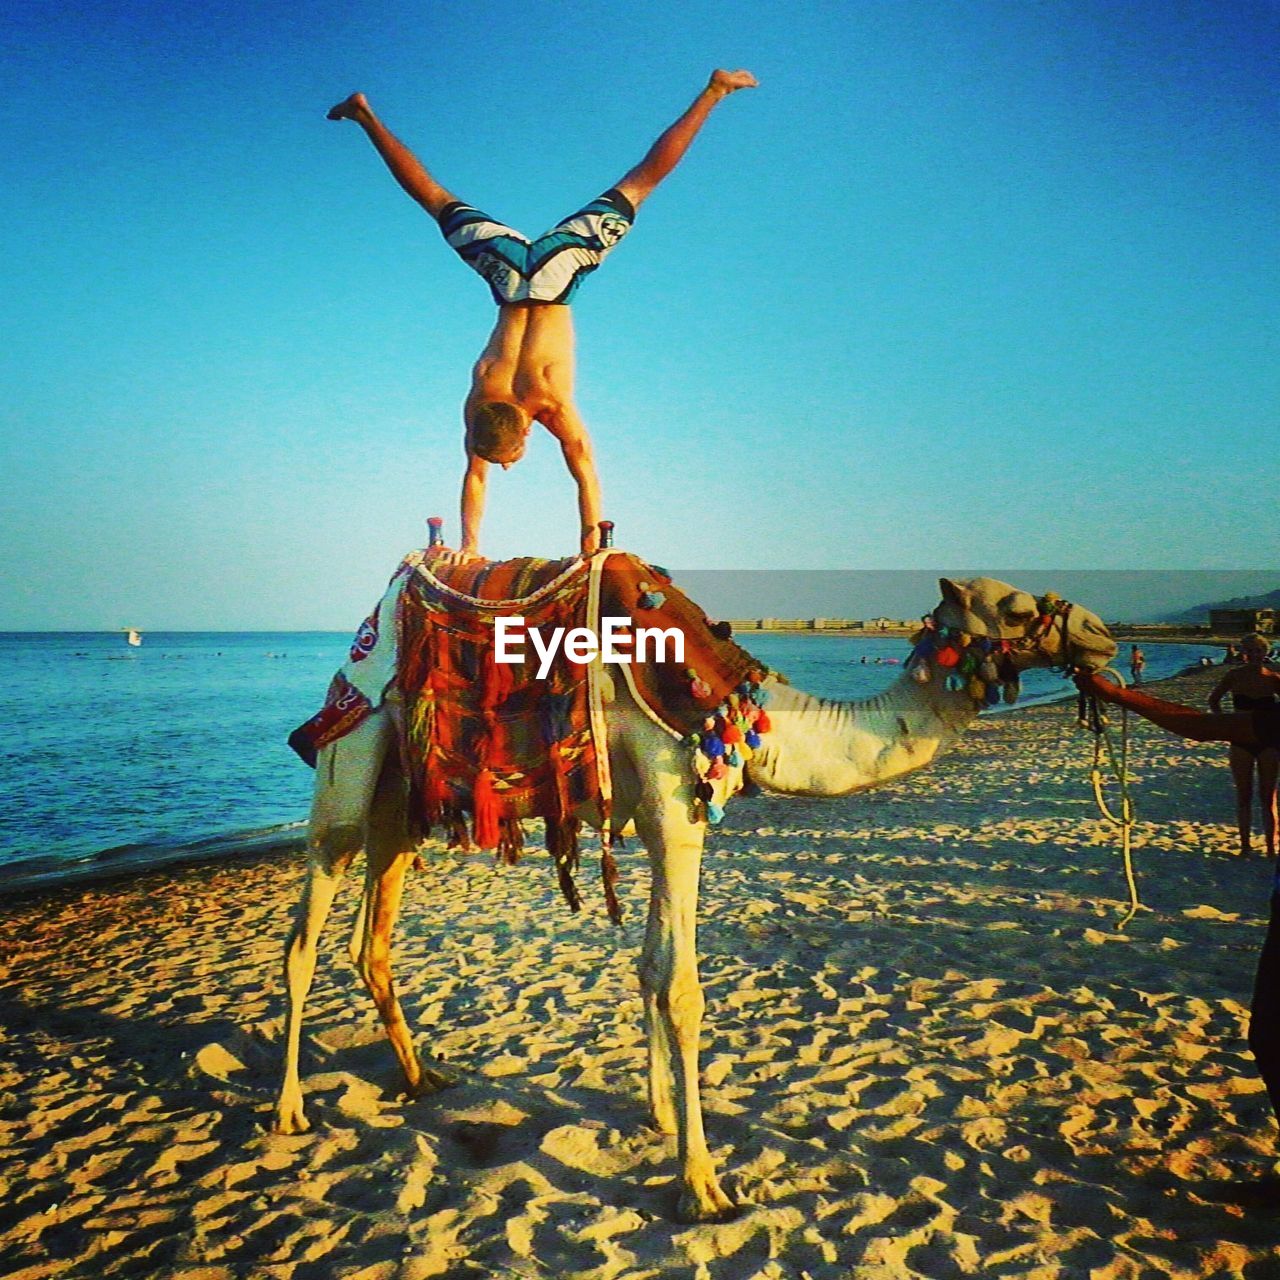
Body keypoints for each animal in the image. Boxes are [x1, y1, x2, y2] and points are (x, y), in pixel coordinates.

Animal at [275, 570, 1116, 1218]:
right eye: (1016, 608)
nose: (1102, 632)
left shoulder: (659, 817)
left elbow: (650, 968)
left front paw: (656, 1115)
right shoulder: (678, 806)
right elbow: (682, 989)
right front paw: (702, 1186)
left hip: (405, 799)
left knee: (371, 938)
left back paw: (423, 1077)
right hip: (351, 761)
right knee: (305, 936)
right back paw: (288, 1112)